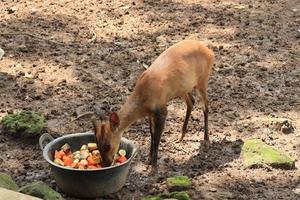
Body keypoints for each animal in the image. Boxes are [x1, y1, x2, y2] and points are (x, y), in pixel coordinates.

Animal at [92, 39, 214, 171]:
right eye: (97, 142)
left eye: (107, 145)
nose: (106, 164)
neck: (143, 100)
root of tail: (210, 52)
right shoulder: (150, 113)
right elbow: (152, 134)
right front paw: (149, 159)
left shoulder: (162, 111)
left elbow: (157, 138)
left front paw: (153, 168)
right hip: (183, 87)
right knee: (191, 102)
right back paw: (180, 137)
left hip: (202, 80)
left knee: (206, 107)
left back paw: (206, 140)